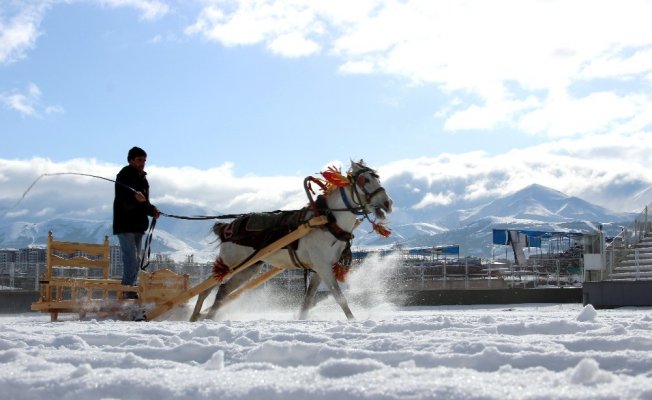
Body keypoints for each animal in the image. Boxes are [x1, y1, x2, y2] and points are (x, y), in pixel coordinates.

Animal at [192, 159, 392, 318]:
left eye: (378, 178)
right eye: (365, 180)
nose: (388, 203)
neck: (328, 221)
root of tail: (227, 227)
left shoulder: (320, 269)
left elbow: (308, 301)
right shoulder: (323, 267)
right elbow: (340, 298)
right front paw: (353, 321)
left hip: (249, 268)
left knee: (223, 291)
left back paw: (206, 317)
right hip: (231, 262)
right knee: (207, 290)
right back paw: (197, 315)